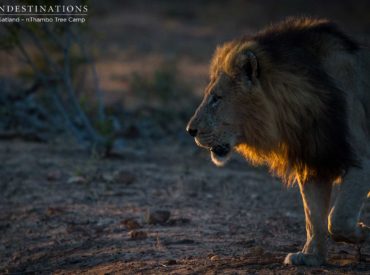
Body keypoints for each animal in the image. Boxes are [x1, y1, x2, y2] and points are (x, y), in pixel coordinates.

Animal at [186, 17, 370, 268]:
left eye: (216, 98)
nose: (190, 130)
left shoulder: (361, 158)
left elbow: (338, 218)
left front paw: (363, 232)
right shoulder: (314, 157)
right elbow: (314, 215)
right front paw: (311, 256)